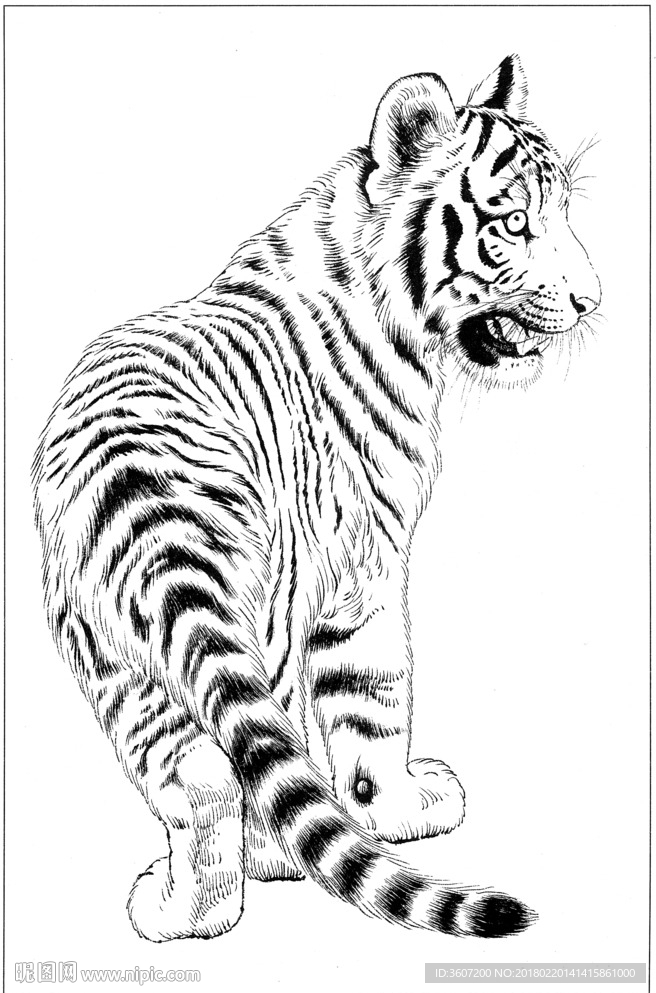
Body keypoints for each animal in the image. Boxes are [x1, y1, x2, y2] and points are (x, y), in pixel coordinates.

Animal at [32, 54, 600, 942]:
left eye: (564, 212)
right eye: (512, 222)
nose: (590, 300)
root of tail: (141, 488)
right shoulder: (368, 566)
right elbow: (376, 698)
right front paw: (406, 806)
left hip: (115, 654)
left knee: (204, 772)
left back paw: (190, 907)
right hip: (249, 615)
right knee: (248, 757)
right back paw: (236, 881)